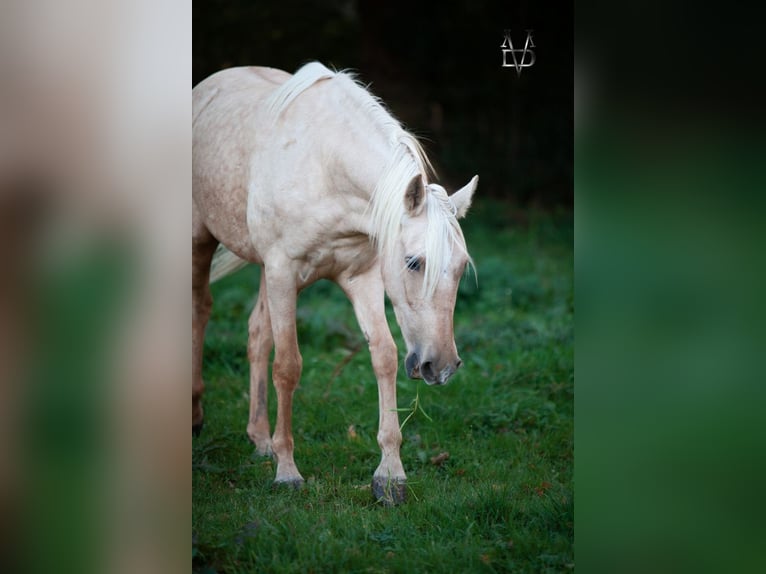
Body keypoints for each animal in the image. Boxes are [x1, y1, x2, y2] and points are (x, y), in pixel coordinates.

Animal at [194, 60, 480, 506]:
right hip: (203, 239)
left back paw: (260, 440)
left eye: (461, 265)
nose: (443, 367)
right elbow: (288, 366)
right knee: (200, 308)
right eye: (414, 262)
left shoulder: (360, 277)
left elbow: (384, 356)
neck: (325, 167)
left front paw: (390, 476)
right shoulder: (282, 270)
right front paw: (287, 472)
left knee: (257, 334)